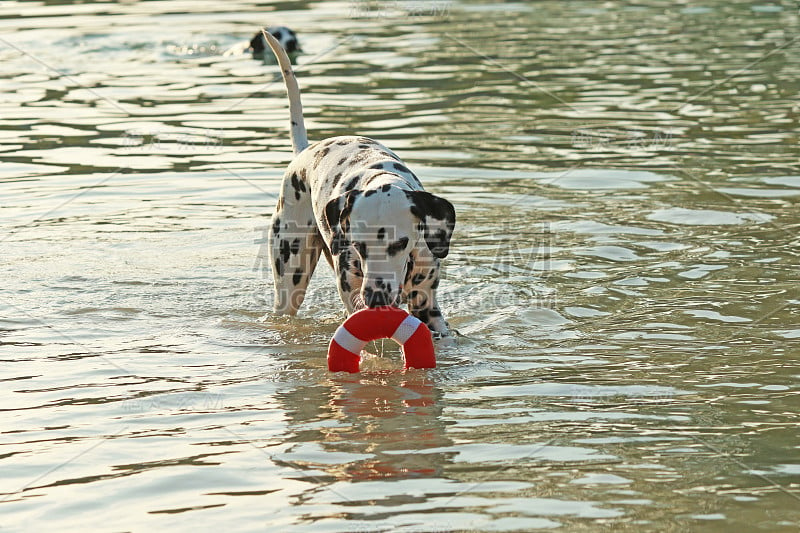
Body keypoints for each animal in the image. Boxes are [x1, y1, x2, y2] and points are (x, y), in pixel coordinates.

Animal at [260, 30, 454, 336]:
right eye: (359, 245)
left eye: (399, 243)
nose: (376, 297)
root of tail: (305, 150)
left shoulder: (427, 304)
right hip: (290, 276)